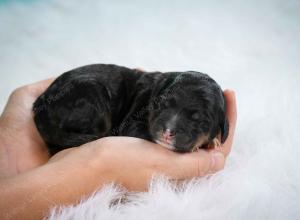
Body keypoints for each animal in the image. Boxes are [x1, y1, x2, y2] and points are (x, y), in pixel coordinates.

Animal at [32, 64, 229, 156]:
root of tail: (40, 107)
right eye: (162, 105)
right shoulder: (132, 123)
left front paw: (212, 141)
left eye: (199, 120)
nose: (167, 131)